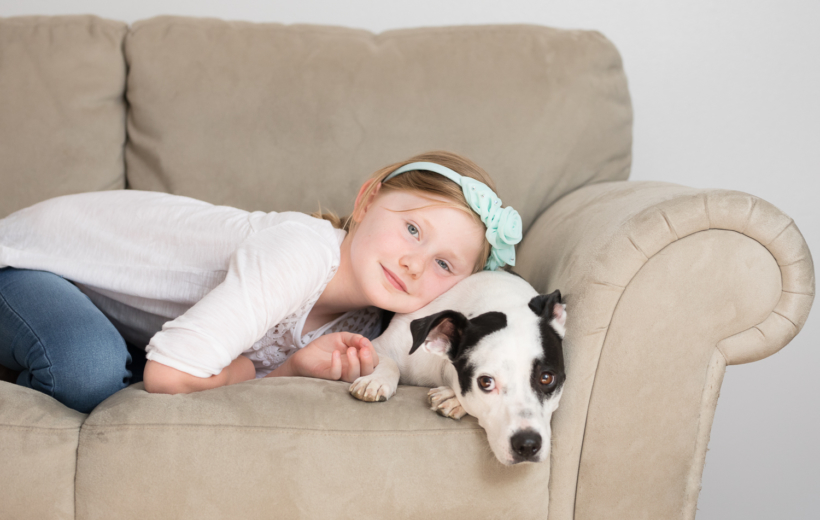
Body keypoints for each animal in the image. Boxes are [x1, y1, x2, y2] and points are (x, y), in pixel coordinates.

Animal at [350, 270, 568, 466]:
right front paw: (376, 380)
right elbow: (388, 361)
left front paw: (452, 399)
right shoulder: (379, 346)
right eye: (486, 382)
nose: (528, 444)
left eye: (546, 378)